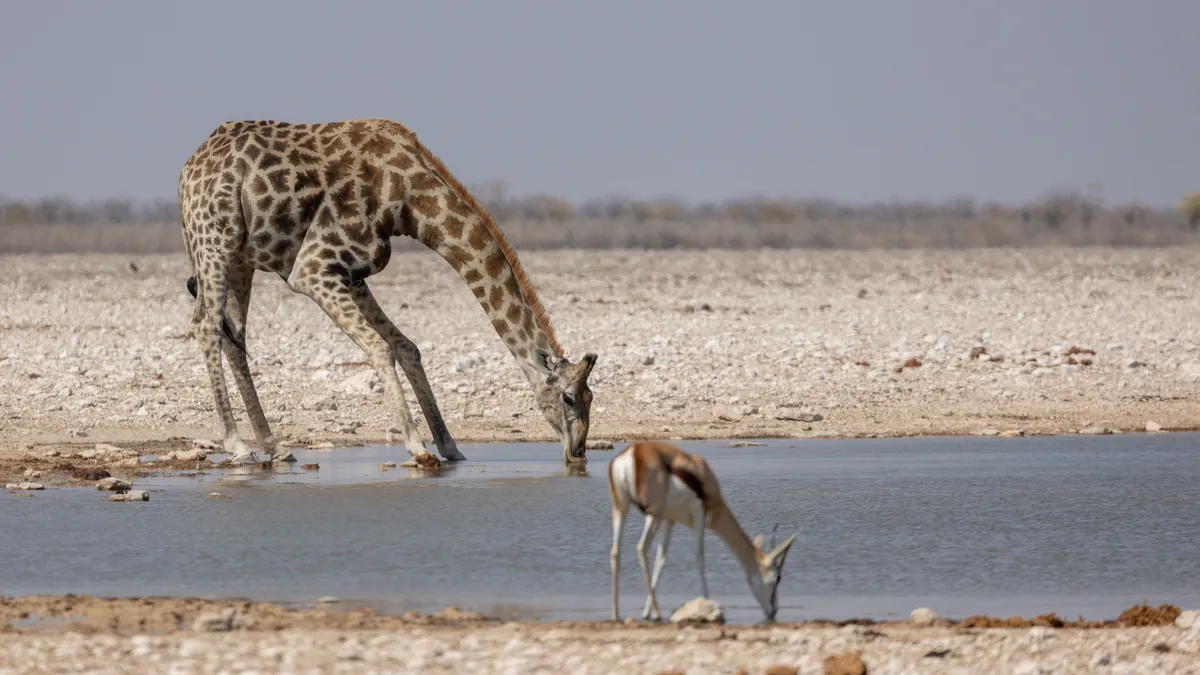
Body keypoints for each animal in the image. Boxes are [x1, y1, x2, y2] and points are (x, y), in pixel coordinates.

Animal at [177, 118, 599, 467]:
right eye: (568, 397)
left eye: (591, 397)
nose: (578, 451)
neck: (411, 201)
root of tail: (187, 171)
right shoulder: (312, 268)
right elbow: (380, 348)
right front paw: (416, 446)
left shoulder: (352, 273)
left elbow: (406, 347)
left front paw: (449, 446)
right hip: (214, 240)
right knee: (207, 327)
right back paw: (238, 446)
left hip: (239, 258)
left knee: (234, 336)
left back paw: (274, 446)